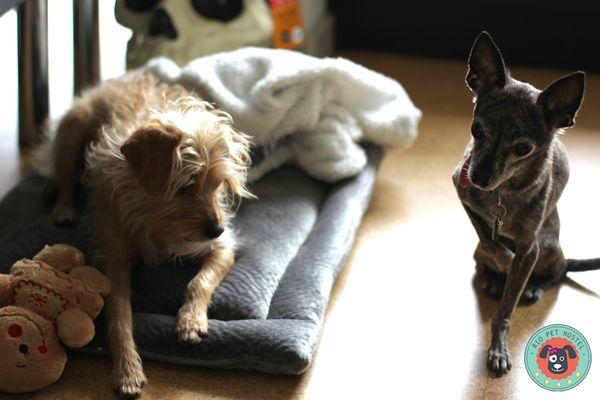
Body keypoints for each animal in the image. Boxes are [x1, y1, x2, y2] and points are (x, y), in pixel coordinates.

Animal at [454, 32, 600, 376]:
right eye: (476, 129)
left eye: (522, 148)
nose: (477, 177)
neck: (502, 193)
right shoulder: (461, 191)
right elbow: (489, 238)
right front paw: (504, 262)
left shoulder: (529, 248)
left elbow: (507, 307)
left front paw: (498, 348)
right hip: (478, 251)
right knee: (484, 257)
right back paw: (494, 279)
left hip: (548, 248)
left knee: (558, 273)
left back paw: (534, 285)